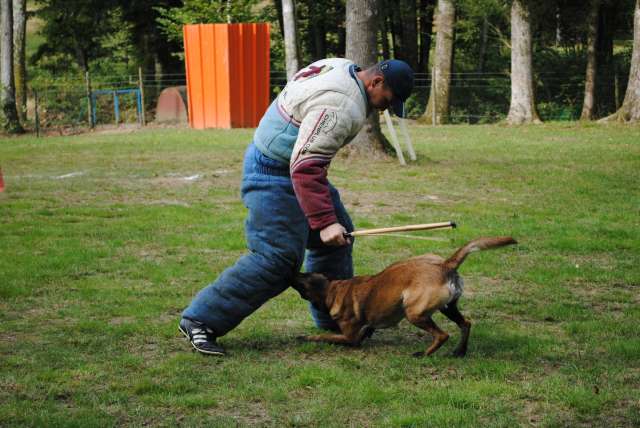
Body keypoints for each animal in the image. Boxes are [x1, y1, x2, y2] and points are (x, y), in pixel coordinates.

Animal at [292, 236, 516, 356]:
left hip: (414, 312)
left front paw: (305, 337)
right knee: (466, 324)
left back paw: (424, 354)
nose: (291, 272)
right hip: (448, 307)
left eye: (303, 277)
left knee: (442, 335)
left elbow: (324, 337)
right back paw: (459, 352)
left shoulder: (349, 338)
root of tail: (445, 265)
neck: (334, 290)